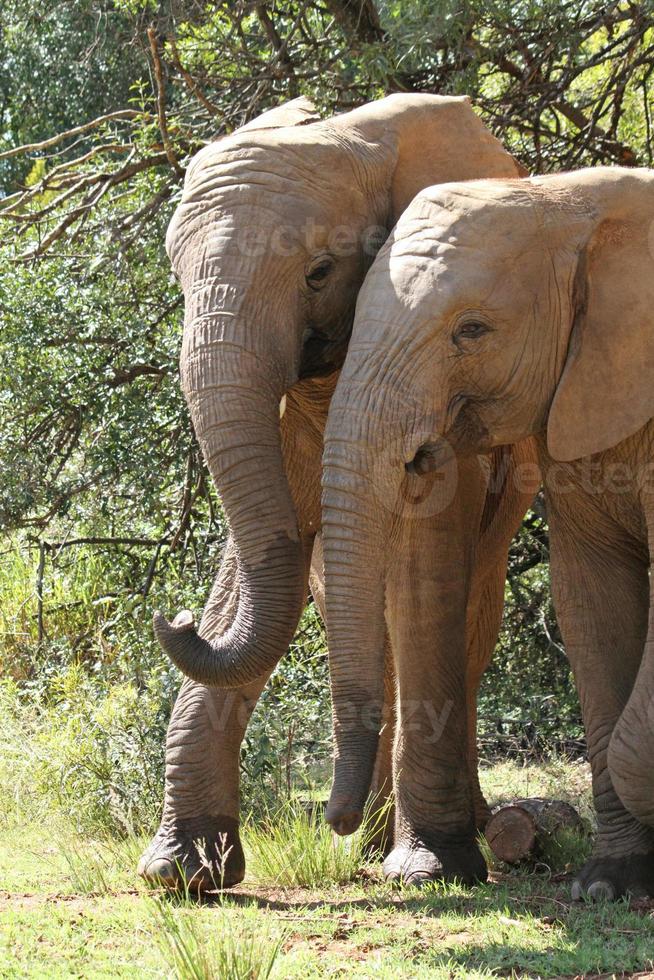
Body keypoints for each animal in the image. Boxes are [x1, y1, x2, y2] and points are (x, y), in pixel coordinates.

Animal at [137, 92, 540, 888]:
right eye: (178, 278)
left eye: (319, 272)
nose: (176, 618)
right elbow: (270, 549)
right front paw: (181, 873)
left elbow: (426, 555)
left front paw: (432, 868)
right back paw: (373, 843)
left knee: (468, 612)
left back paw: (441, 837)